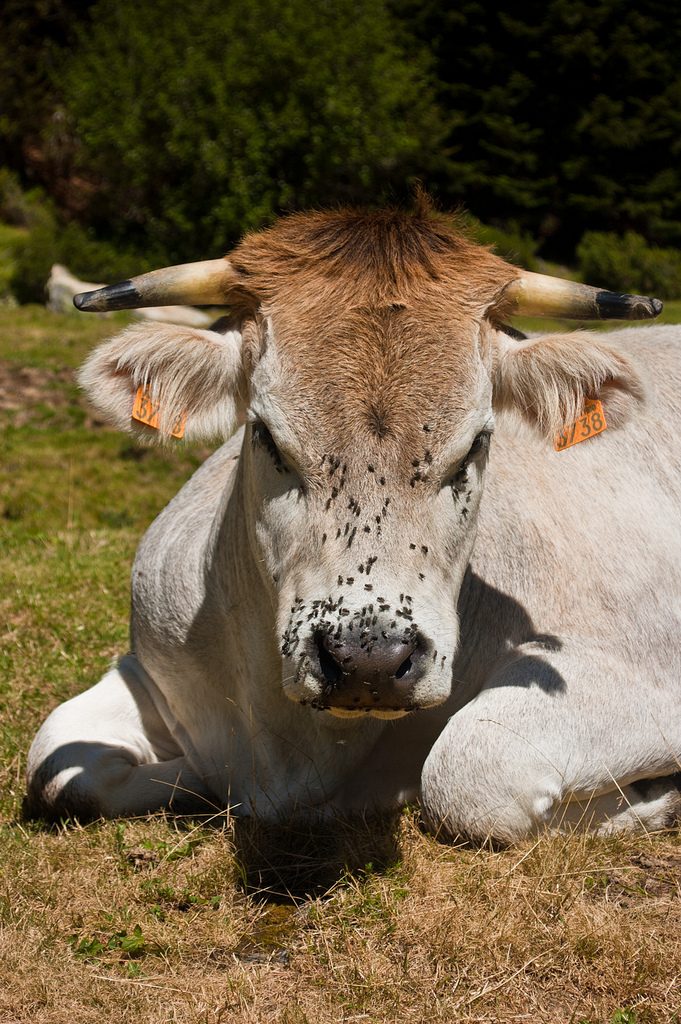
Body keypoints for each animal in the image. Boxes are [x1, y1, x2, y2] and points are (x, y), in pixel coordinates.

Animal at [26, 201, 681, 844]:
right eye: (265, 434)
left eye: (476, 442)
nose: (370, 661)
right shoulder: (148, 667)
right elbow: (58, 768)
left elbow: (470, 772)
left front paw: (653, 801)